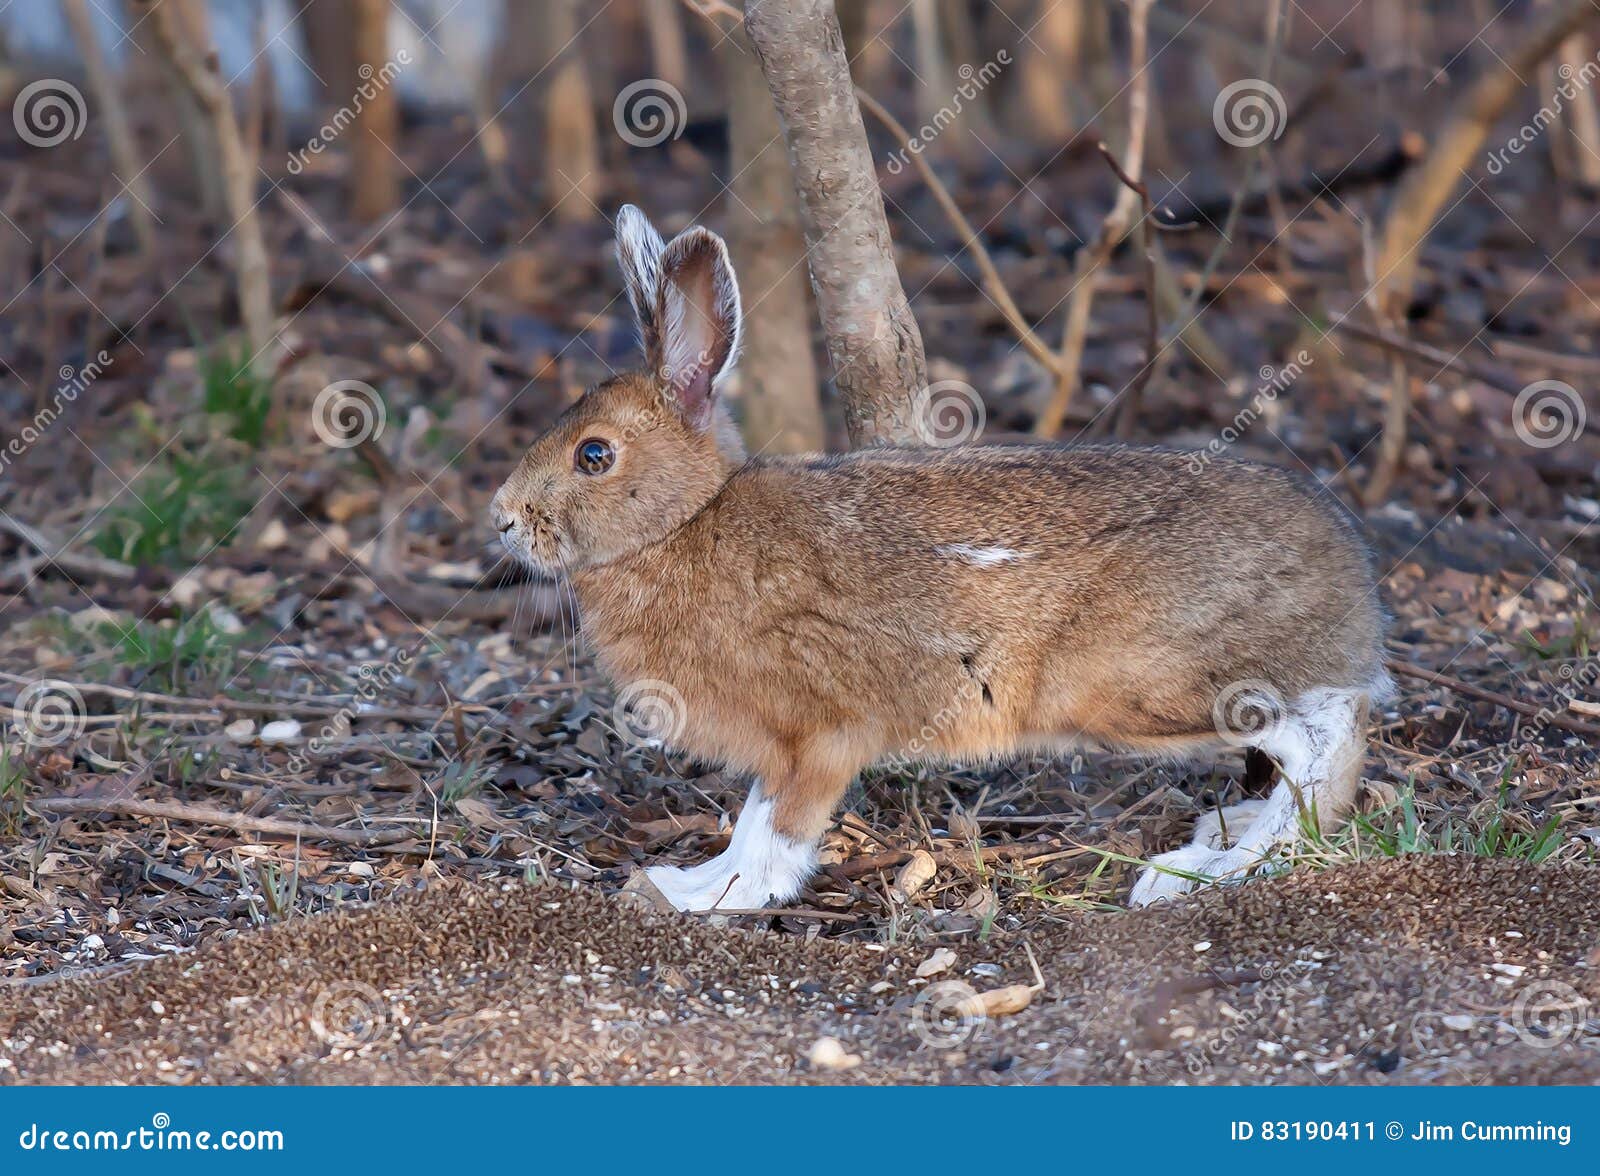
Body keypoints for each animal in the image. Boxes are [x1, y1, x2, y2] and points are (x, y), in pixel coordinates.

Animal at [490, 205, 1392, 913]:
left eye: (594, 456)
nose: (501, 520)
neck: (685, 523)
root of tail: (1351, 583)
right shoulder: (784, 747)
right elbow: (752, 815)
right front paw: (688, 883)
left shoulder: (821, 734)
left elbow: (776, 831)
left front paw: (711, 895)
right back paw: (1225, 833)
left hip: (1144, 687)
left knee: (1327, 737)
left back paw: (1211, 867)